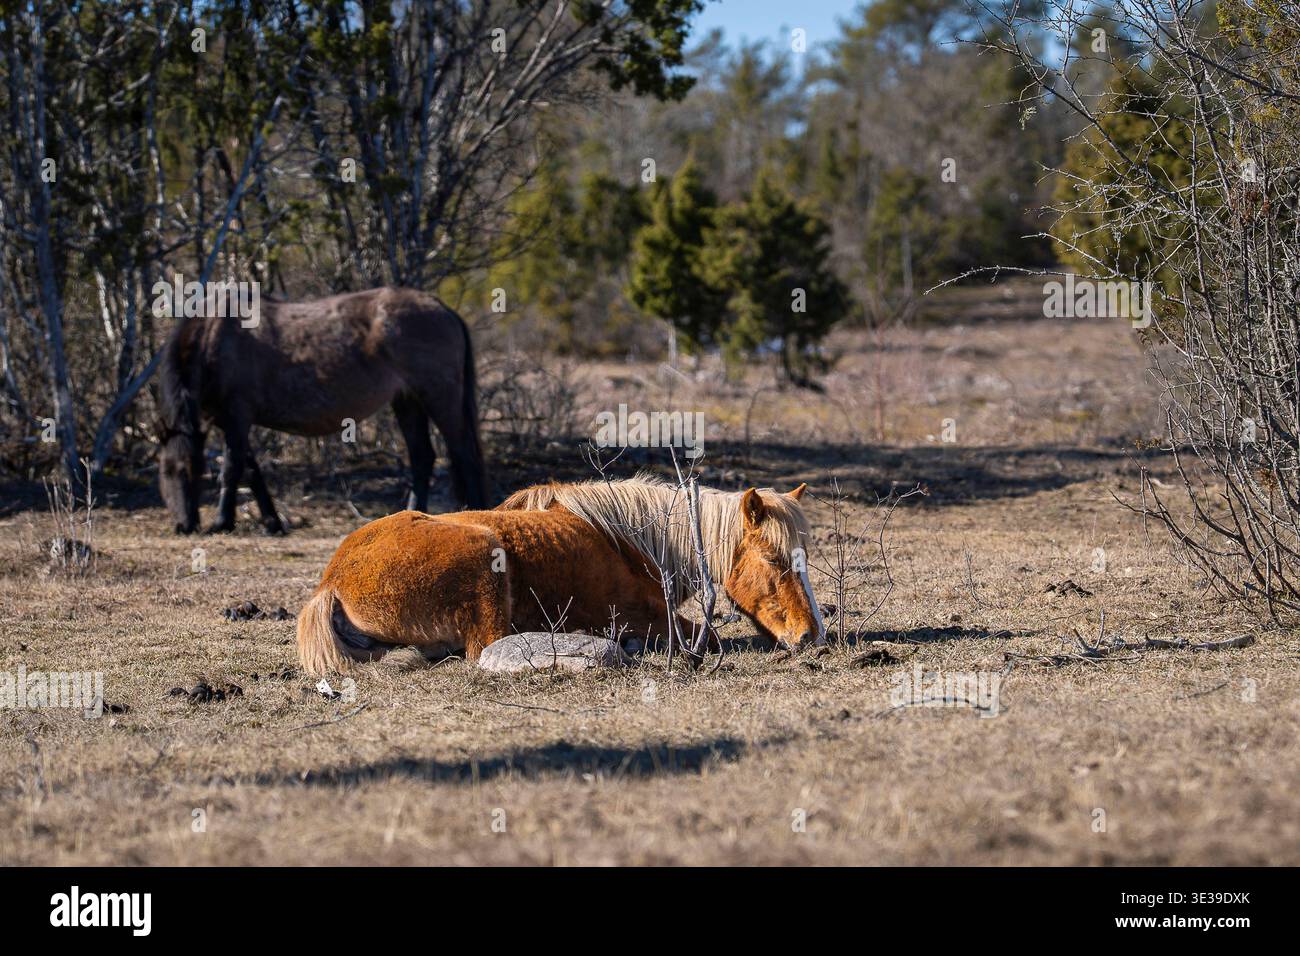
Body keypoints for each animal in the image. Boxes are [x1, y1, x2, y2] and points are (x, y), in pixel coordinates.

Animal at [158, 287, 487, 534]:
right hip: (407, 401)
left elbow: (231, 469)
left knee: (463, 453)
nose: (184, 526)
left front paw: (221, 522)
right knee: (422, 456)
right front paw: (272, 522)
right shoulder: (229, 423)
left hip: (438, 396)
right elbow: (252, 471)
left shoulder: (237, 417)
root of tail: (442, 307)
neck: (213, 336)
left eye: (189, 471)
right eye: (166, 471)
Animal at [296, 475, 825, 675]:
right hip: (485, 559)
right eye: (774, 560)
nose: (811, 635)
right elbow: (707, 637)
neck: (630, 542)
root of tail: (329, 583)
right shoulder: (650, 616)